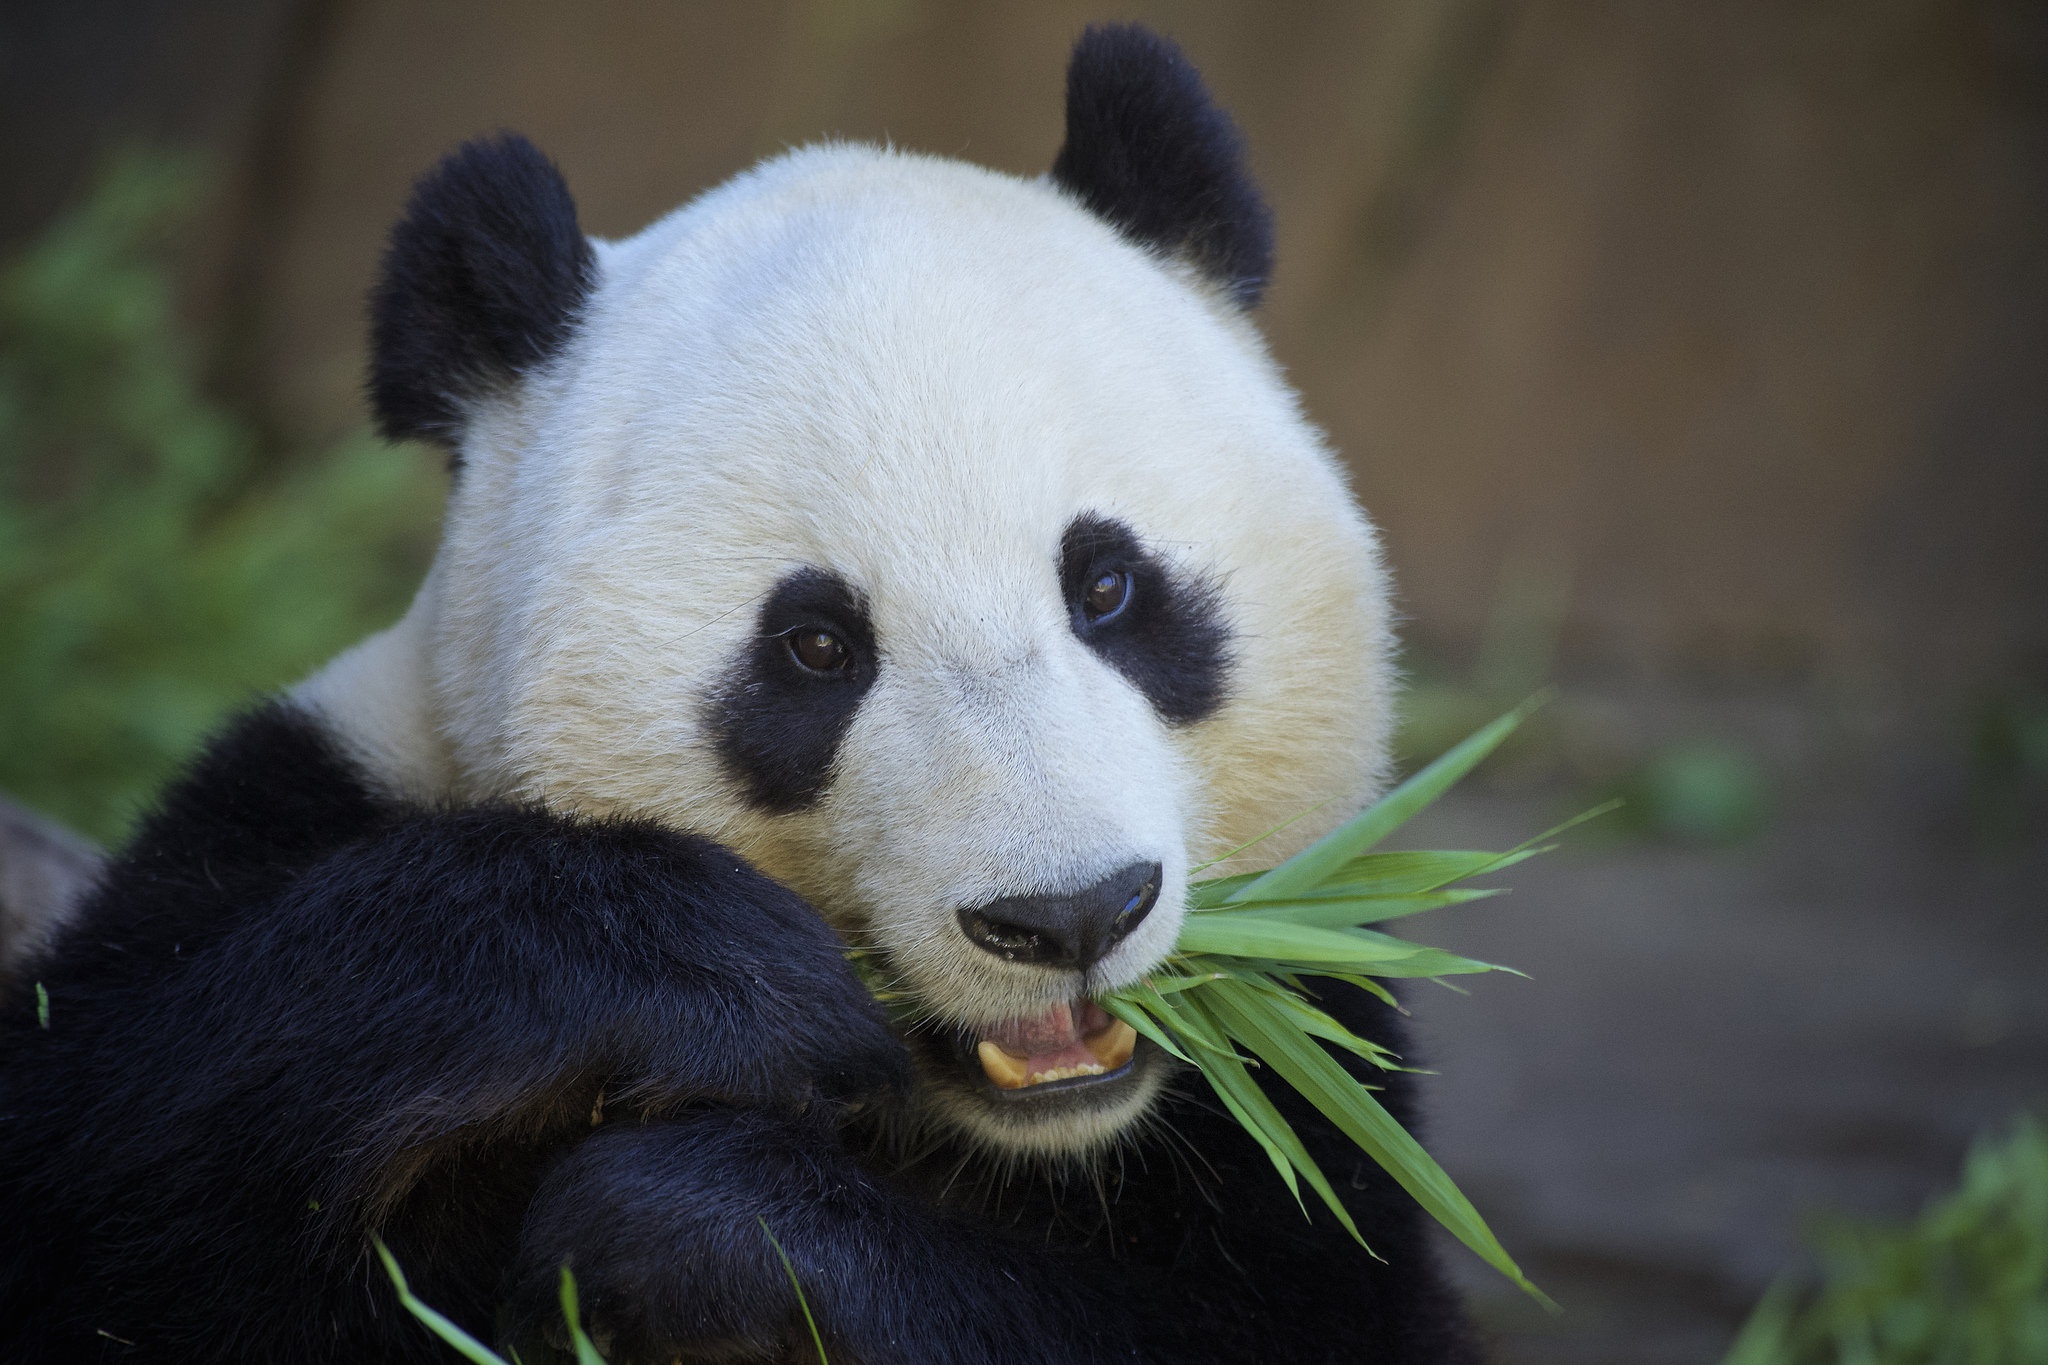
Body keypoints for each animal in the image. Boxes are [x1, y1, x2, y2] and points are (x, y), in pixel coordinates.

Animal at [0, 24, 1482, 1365]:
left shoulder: (1306, 1074)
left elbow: (1288, 1315)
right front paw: (717, 975)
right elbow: (107, 1159)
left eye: (1108, 588)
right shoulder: (304, 809)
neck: (1004, 1133)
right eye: (817, 647)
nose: (1066, 916)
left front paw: (689, 1230)